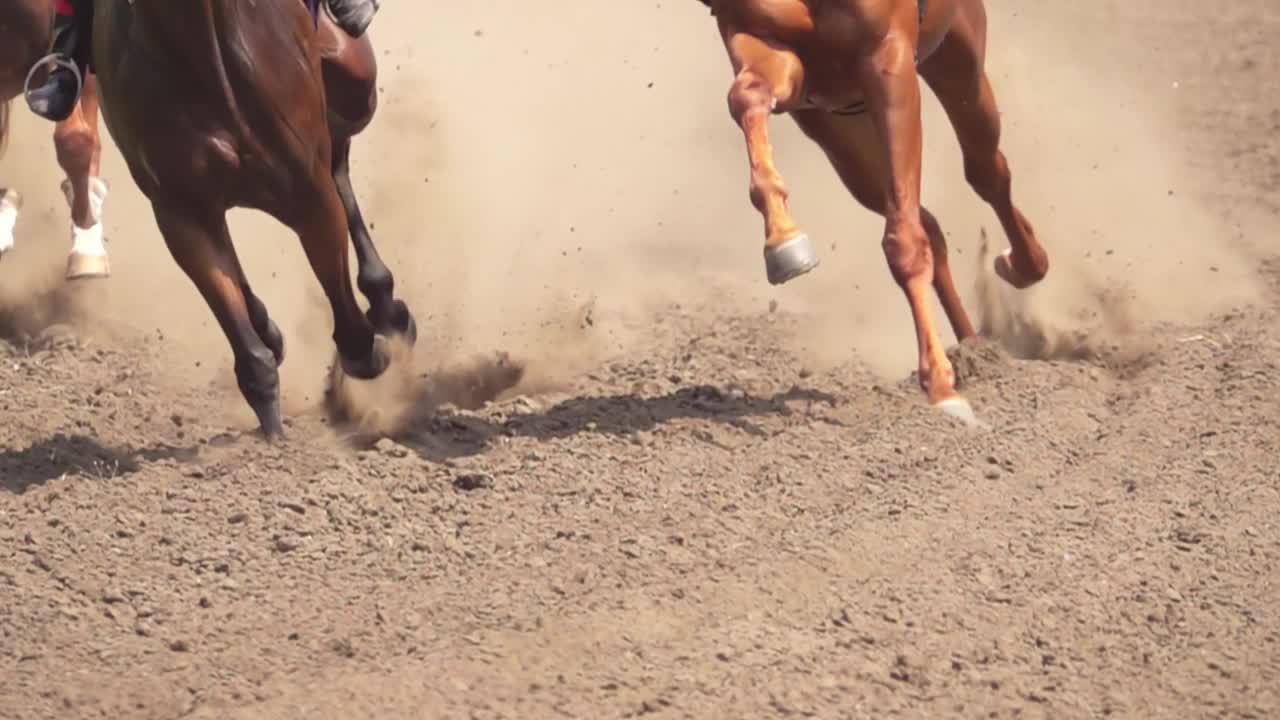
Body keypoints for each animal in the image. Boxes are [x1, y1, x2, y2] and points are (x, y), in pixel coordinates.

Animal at [91, 0, 419, 438]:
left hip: (354, 78)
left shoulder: (310, 192)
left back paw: (386, 306)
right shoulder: (180, 208)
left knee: (340, 157)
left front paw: (370, 346)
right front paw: (271, 427)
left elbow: (350, 324)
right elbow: (238, 323)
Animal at [701, 0, 1049, 420]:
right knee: (927, 222)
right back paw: (974, 347)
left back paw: (1021, 267)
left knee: (987, 173)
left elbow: (904, 244)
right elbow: (747, 94)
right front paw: (783, 243)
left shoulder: (889, 60)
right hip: (844, 142)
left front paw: (942, 390)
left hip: (958, 60)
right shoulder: (777, 57)